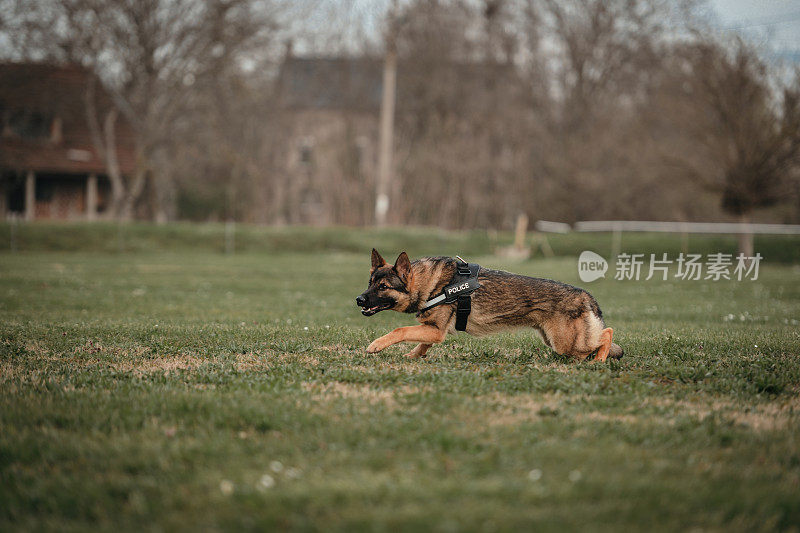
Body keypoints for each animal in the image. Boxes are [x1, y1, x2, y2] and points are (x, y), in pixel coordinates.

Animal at [356, 250, 624, 362]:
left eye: (383, 287)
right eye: (370, 283)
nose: (358, 300)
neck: (429, 283)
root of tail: (586, 297)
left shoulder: (435, 331)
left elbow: (399, 331)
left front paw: (376, 345)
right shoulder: (433, 330)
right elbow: (422, 344)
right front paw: (414, 355)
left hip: (566, 343)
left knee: (607, 334)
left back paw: (599, 361)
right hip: (557, 342)